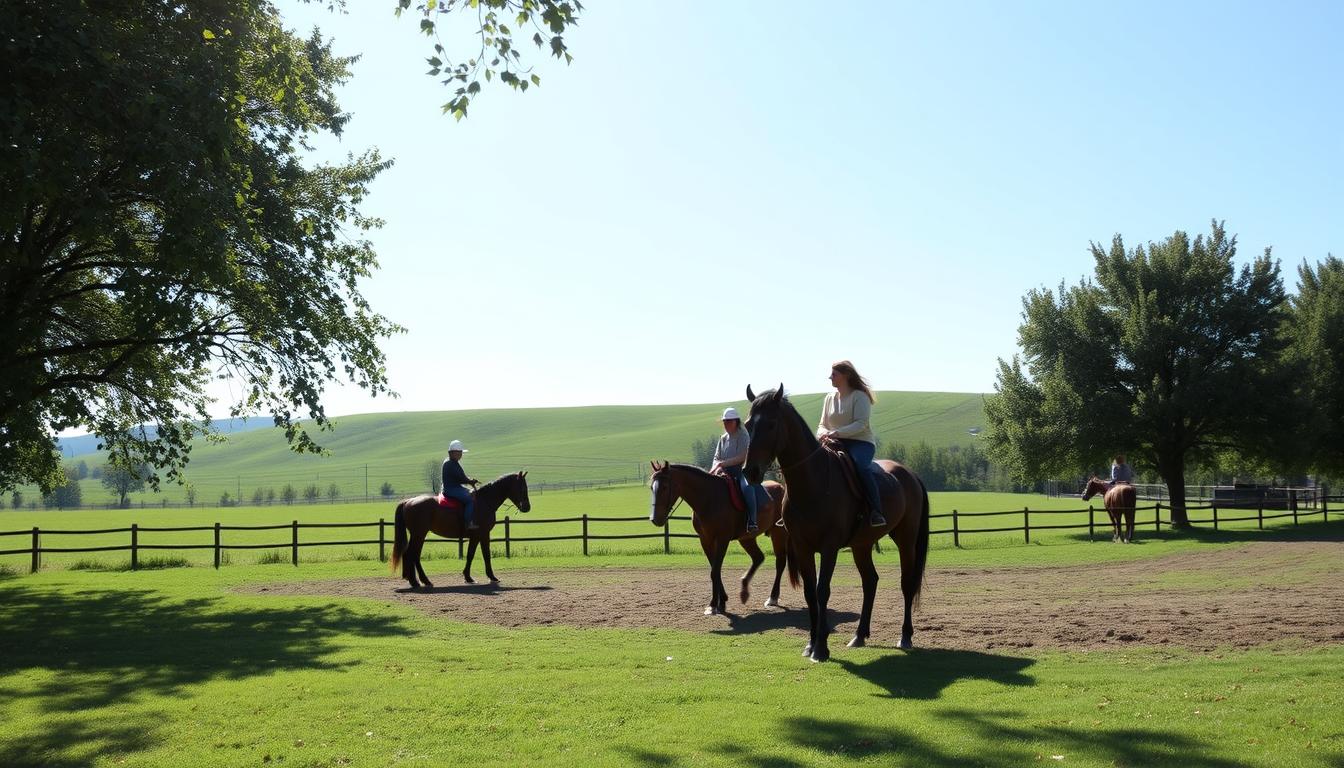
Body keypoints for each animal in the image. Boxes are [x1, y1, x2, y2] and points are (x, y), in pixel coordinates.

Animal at [389, 470, 529, 591]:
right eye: (522, 488)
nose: (527, 507)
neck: (484, 501)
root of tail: (408, 501)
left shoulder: (478, 536)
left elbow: (473, 555)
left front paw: (470, 577)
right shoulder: (482, 534)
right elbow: (483, 555)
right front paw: (489, 577)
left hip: (419, 535)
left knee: (414, 555)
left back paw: (421, 580)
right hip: (419, 534)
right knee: (410, 554)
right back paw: (415, 581)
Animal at [647, 459, 790, 616]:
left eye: (665, 487)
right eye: (651, 487)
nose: (655, 519)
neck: (708, 499)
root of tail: (781, 487)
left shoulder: (722, 539)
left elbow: (714, 571)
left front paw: (713, 604)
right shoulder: (705, 540)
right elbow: (714, 570)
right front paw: (722, 601)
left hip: (778, 533)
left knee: (780, 562)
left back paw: (772, 598)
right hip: (747, 538)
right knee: (758, 558)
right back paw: (744, 589)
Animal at [741, 387, 930, 664]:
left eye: (771, 423)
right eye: (747, 425)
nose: (750, 472)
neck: (813, 482)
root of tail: (910, 474)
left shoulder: (829, 548)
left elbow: (822, 591)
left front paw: (821, 648)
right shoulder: (803, 547)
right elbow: (810, 592)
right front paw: (811, 644)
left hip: (906, 540)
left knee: (907, 583)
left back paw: (905, 636)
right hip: (862, 546)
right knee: (870, 581)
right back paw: (859, 635)